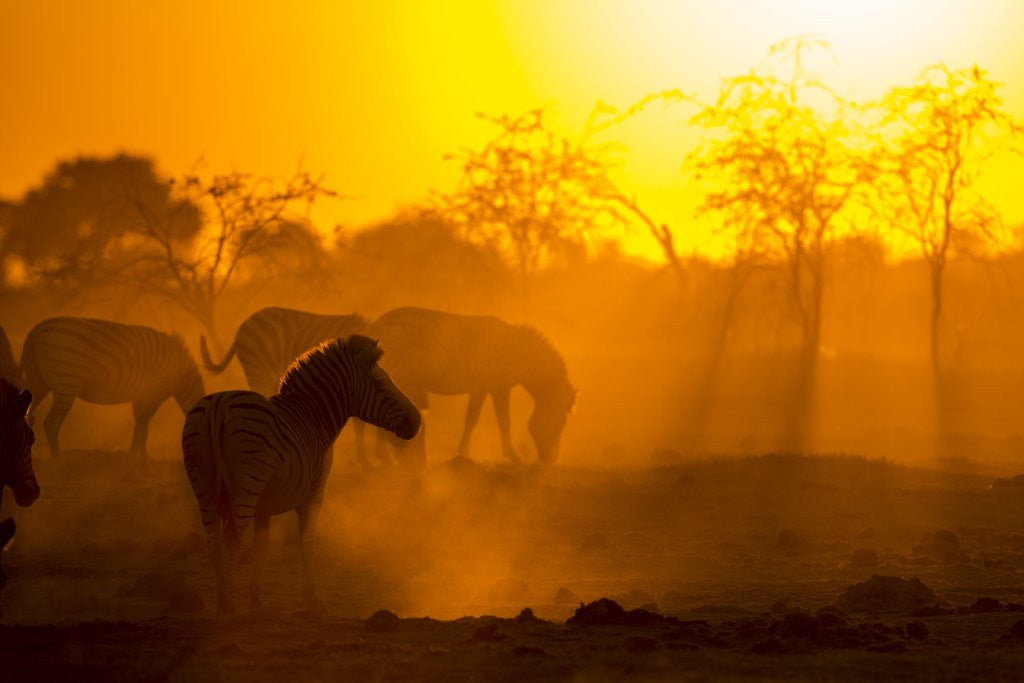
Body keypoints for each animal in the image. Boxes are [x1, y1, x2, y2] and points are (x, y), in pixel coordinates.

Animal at [20, 317, 205, 459]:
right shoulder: (153, 393)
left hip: (38, 382)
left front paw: (138, 456)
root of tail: (38, 329)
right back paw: (58, 460)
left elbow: (140, 426)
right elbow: (143, 426)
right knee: (51, 422)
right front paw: (137, 458)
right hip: (66, 383)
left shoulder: (141, 395)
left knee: (28, 416)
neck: (179, 373)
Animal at [182, 334, 419, 613]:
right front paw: (313, 597)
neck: (313, 417)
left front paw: (256, 599)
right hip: (246, 483)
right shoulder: (313, 493)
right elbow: (307, 543)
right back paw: (227, 605)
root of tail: (217, 406)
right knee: (231, 540)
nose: (417, 422)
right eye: (381, 384)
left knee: (213, 542)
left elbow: (262, 545)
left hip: (203, 481)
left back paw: (222, 599)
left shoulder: (264, 503)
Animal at [365, 307, 576, 466]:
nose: (552, 461)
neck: (514, 351)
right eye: (560, 423)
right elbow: (497, 421)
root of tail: (376, 324)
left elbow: (477, 420)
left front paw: (465, 452)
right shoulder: (494, 387)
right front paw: (511, 456)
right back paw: (384, 458)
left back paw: (383, 457)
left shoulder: (486, 387)